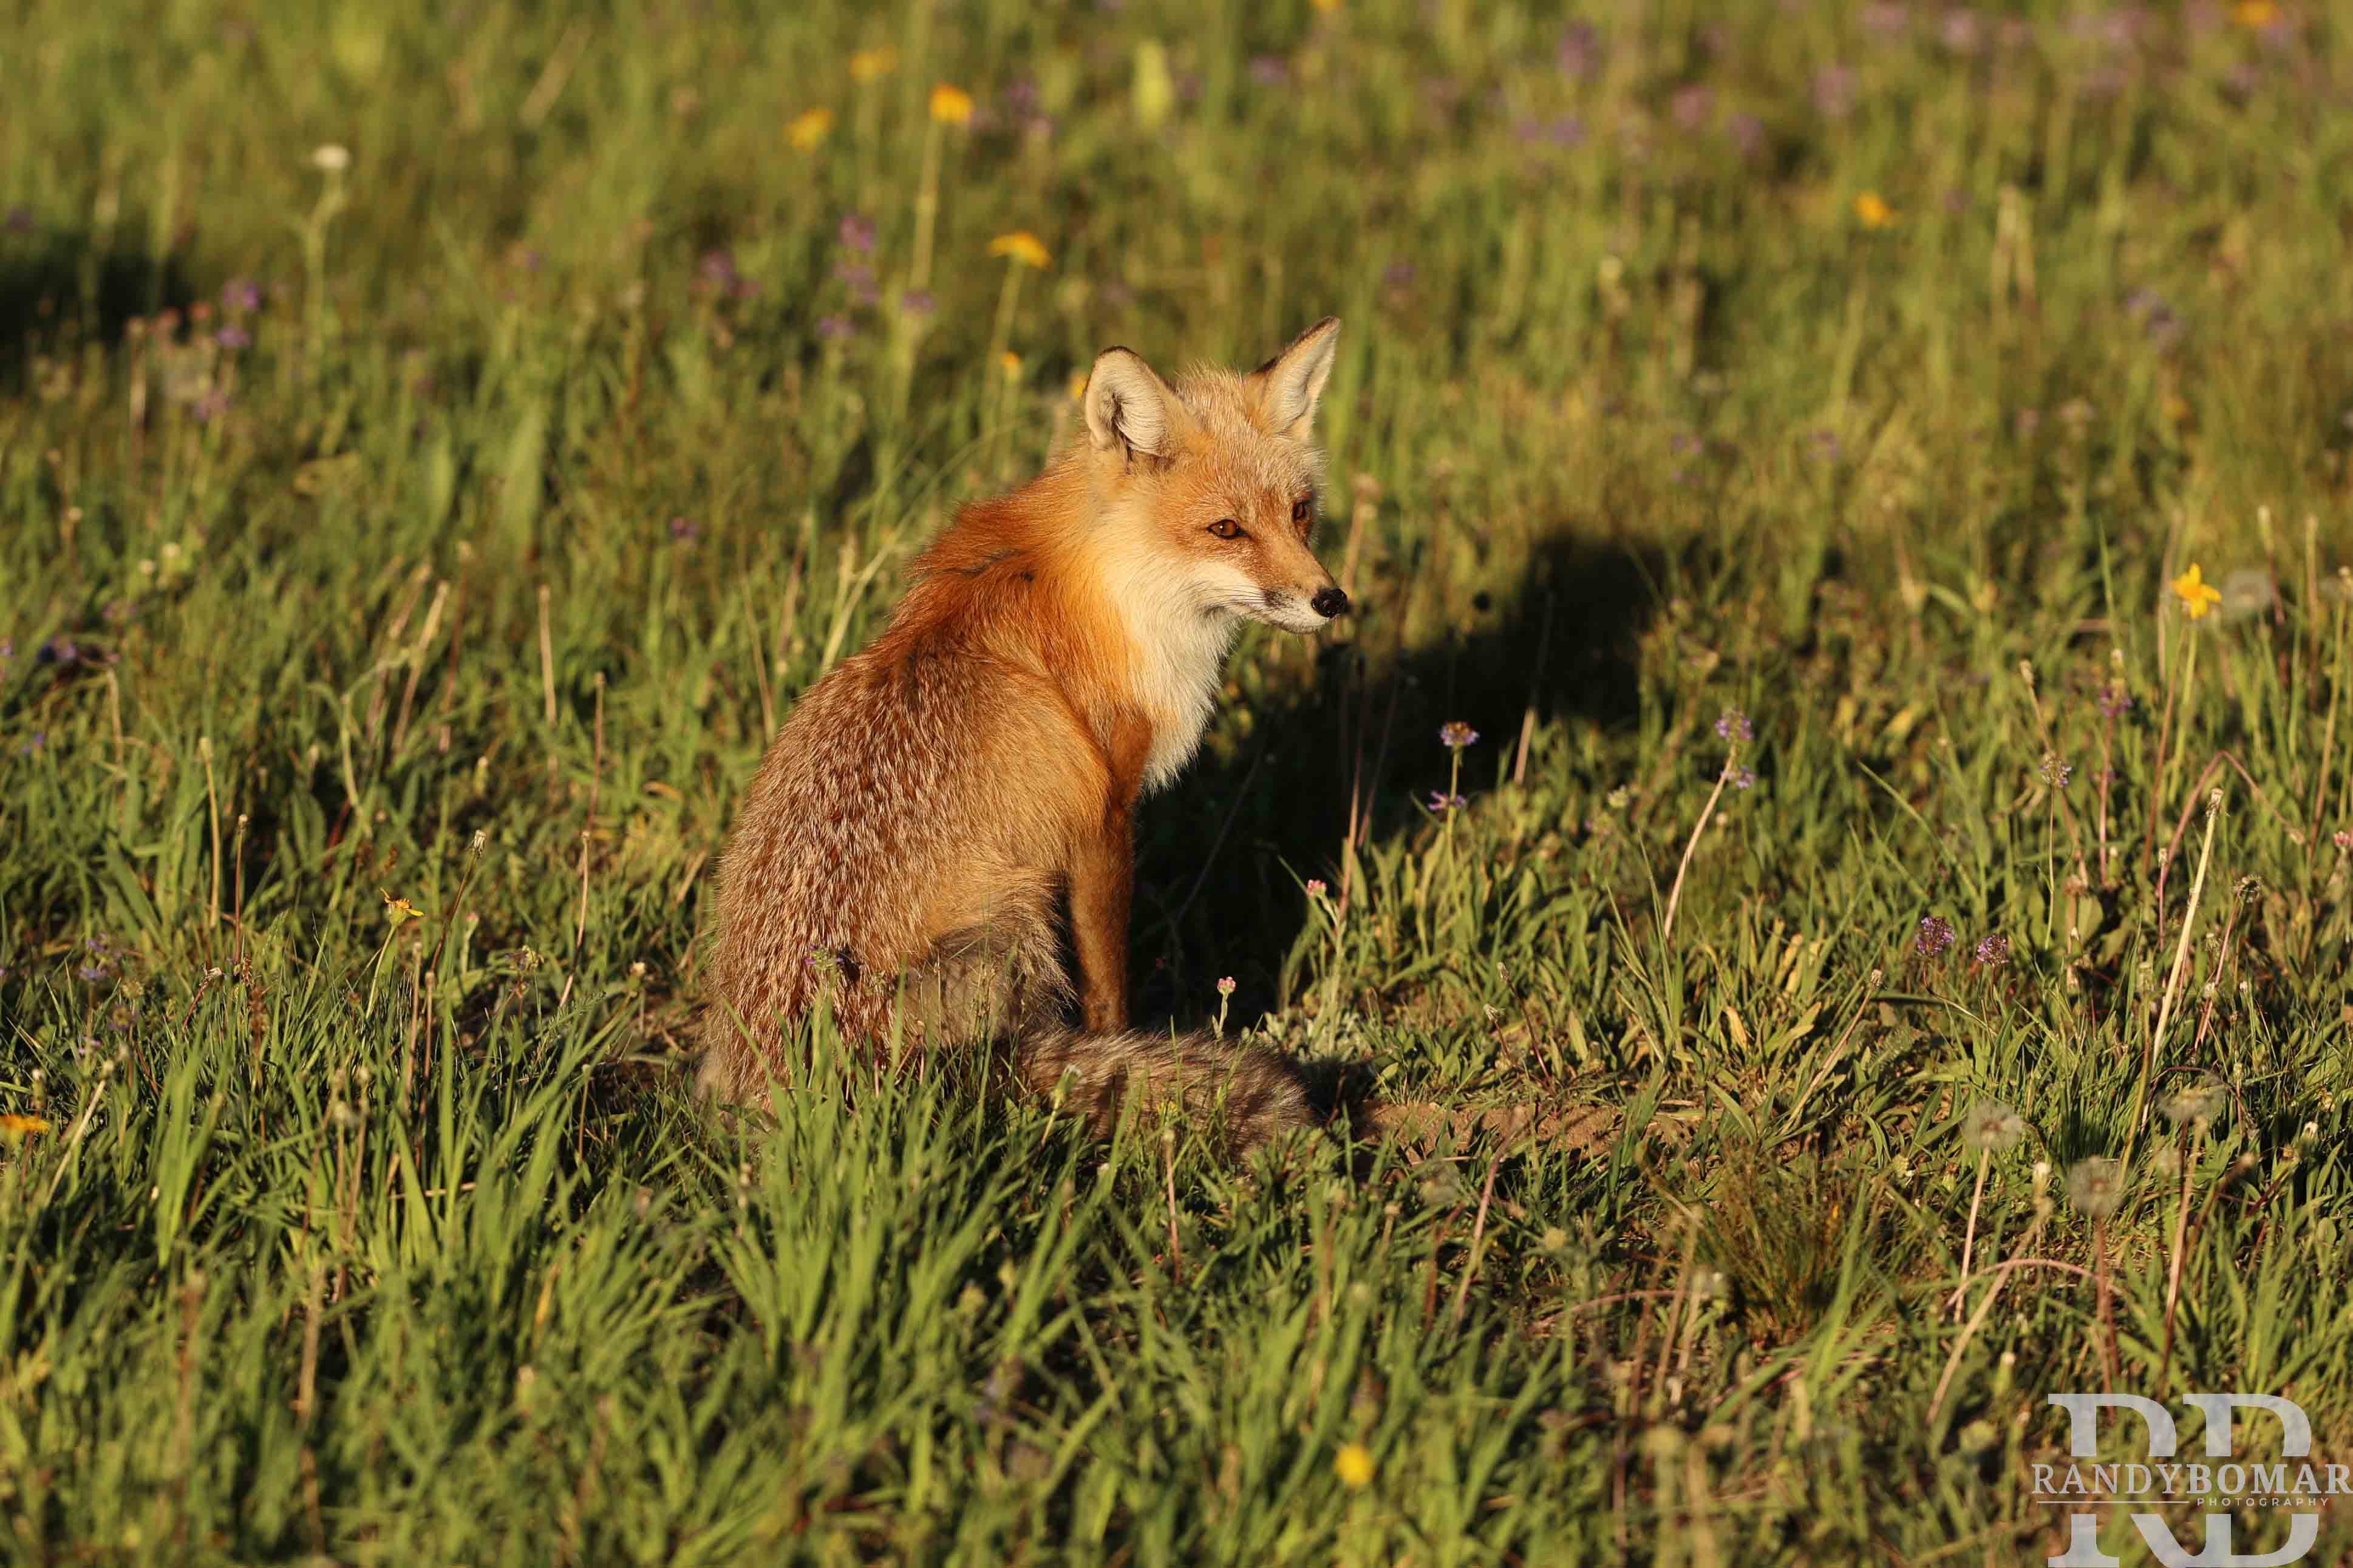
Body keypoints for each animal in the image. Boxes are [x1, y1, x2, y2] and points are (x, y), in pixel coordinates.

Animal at [695, 317, 1351, 1149]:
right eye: (1225, 530)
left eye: (1299, 513)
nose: (1330, 600)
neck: (1109, 592)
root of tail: (789, 1088)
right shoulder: (1103, 816)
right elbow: (1108, 988)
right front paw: (1123, 1041)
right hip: (1015, 925)